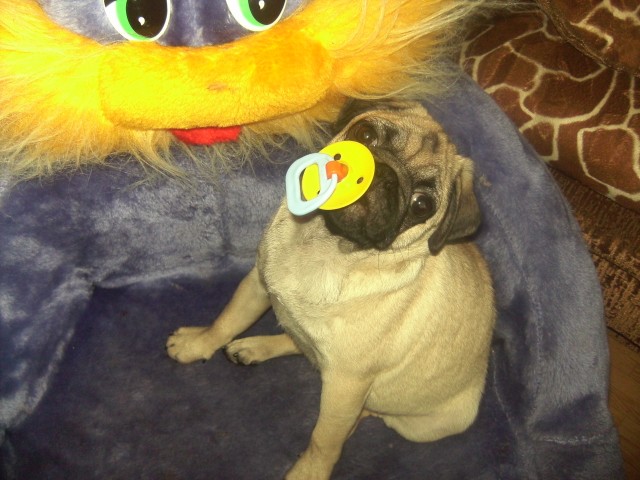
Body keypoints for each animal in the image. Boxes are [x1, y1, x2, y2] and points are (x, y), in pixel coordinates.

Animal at [166, 100, 496, 480]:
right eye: (365, 134)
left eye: (422, 205)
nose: (381, 172)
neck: (326, 246)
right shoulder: (257, 284)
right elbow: (227, 320)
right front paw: (197, 344)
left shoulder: (346, 386)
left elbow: (324, 438)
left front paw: (310, 471)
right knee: (298, 343)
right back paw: (256, 347)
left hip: (419, 423)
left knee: (372, 414)